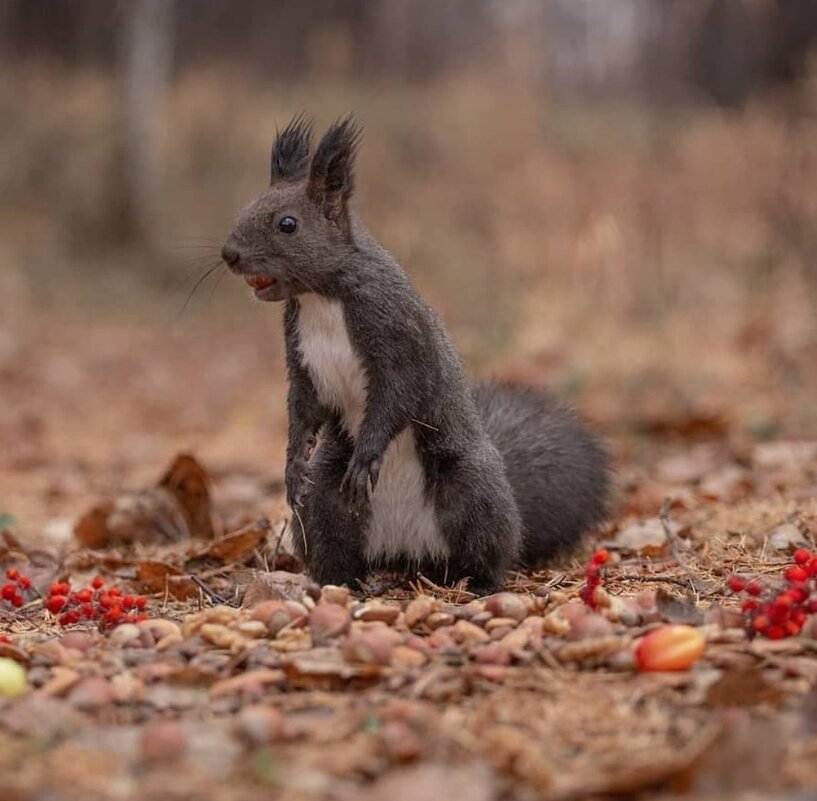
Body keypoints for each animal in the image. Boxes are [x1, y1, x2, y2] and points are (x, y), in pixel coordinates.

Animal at [220, 117, 608, 592]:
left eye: (287, 224)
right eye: (247, 207)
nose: (229, 254)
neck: (322, 297)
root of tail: (407, 551)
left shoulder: (397, 335)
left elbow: (397, 395)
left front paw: (367, 454)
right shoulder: (302, 361)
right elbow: (304, 408)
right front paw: (293, 466)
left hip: (471, 491)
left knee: (488, 551)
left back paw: (481, 583)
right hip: (325, 507)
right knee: (333, 543)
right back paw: (338, 583)